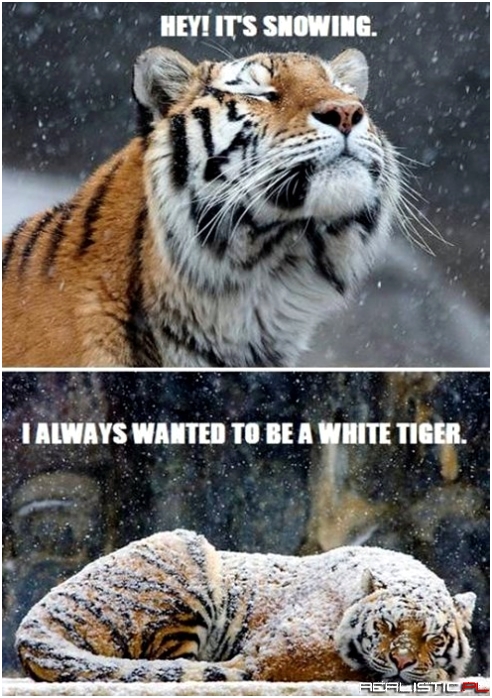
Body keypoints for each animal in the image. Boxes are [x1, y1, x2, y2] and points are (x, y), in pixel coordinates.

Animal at [16, 529, 476, 683]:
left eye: (432, 637)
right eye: (384, 628)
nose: (401, 661)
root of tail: (33, 621)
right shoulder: (285, 651)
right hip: (187, 562)